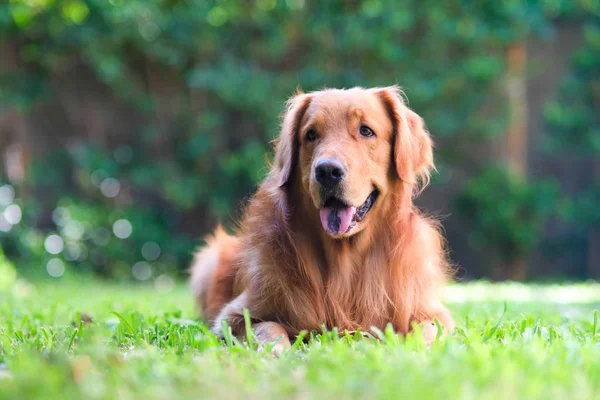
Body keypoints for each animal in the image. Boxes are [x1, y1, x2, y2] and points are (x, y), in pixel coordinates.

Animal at [192, 86, 454, 354]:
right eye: (311, 134)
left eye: (366, 130)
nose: (327, 171)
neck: (344, 260)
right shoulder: (232, 316)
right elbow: (269, 328)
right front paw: (278, 353)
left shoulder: (432, 312)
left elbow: (428, 331)